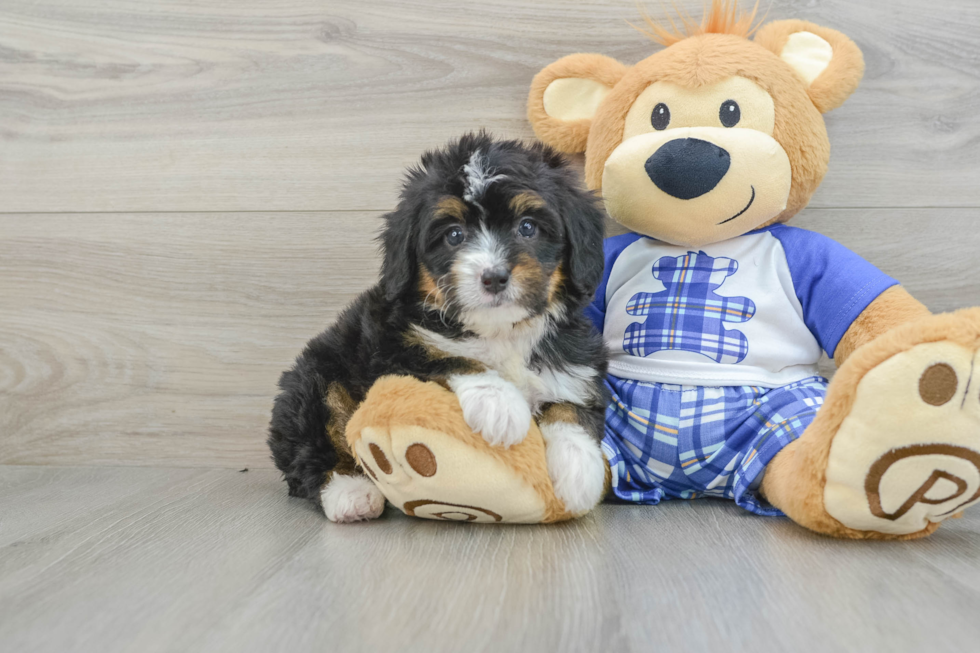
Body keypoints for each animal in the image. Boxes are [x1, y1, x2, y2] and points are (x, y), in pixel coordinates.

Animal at [264, 130, 608, 524]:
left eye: (527, 227)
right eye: (454, 235)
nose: (493, 277)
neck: (500, 332)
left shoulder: (575, 361)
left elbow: (571, 405)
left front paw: (579, 469)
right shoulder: (391, 345)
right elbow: (446, 355)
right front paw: (500, 404)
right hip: (313, 379)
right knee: (314, 443)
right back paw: (350, 493)